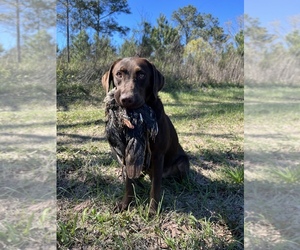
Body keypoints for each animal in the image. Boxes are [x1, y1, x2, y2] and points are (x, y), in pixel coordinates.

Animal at [102, 57, 189, 214]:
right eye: (118, 74)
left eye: (142, 75)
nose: (126, 99)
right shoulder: (127, 154)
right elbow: (128, 185)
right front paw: (125, 204)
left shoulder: (158, 155)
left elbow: (155, 188)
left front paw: (153, 210)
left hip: (182, 162)